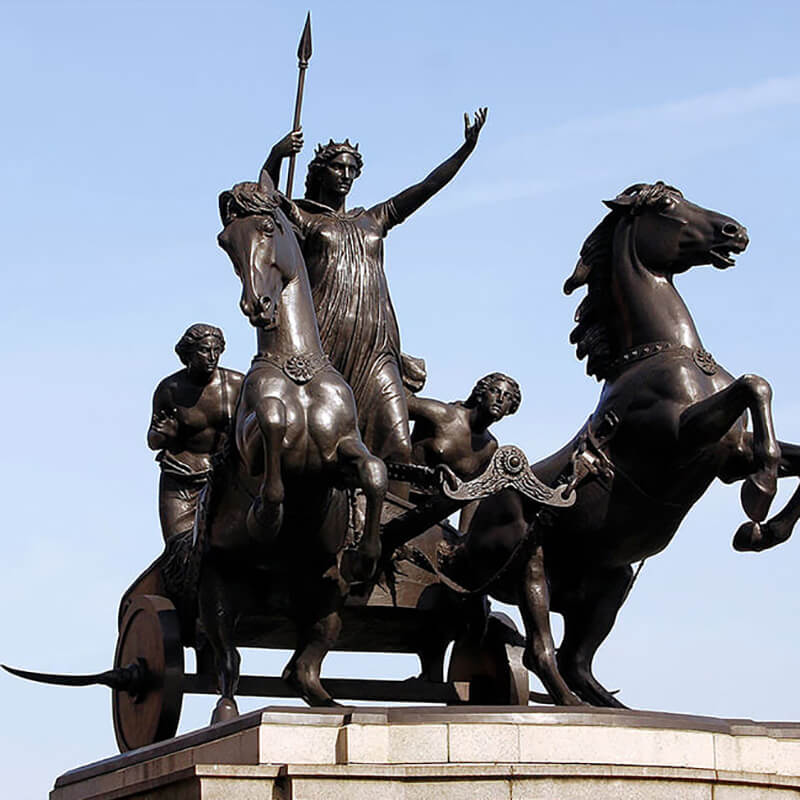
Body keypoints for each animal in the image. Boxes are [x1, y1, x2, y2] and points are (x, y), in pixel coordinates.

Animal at [198, 170, 390, 720]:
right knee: (228, 659)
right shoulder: (251, 446)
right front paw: (267, 515)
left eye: (267, 228)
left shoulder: (341, 452)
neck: (296, 365)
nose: (257, 308)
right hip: (218, 586)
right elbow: (272, 421)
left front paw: (366, 556)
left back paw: (327, 701)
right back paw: (226, 712)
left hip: (321, 589)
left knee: (303, 662)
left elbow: (374, 471)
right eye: (225, 242)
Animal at [460, 183, 800, 708]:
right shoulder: (681, 438)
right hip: (529, 566)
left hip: (609, 582)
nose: (735, 231)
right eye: (665, 205)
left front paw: (764, 532)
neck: (662, 354)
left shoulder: (728, 454)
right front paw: (759, 497)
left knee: (576, 660)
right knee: (541, 651)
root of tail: (463, 539)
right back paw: (573, 708)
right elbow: (755, 385)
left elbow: (792, 447)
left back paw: (614, 707)